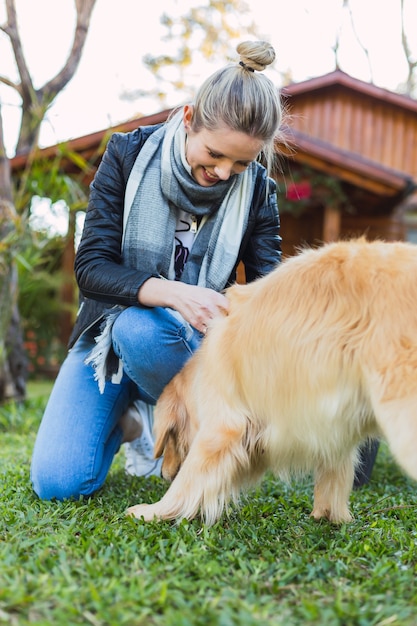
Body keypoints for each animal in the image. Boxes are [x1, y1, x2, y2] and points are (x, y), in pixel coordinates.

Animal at [127, 236, 417, 524]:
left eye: (171, 436)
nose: (163, 474)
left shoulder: (221, 425)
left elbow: (188, 480)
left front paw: (152, 510)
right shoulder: (332, 425)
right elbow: (333, 476)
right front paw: (328, 516)